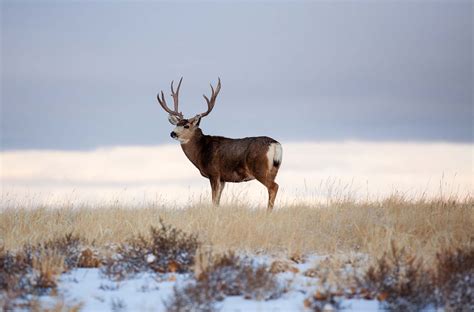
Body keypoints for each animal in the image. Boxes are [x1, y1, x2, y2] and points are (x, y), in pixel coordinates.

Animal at [156, 77, 284, 211]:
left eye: (186, 126)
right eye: (177, 124)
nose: (173, 133)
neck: (201, 150)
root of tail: (275, 144)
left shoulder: (214, 173)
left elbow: (213, 200)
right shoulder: (223, 179)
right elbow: (217, 202)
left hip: (259, 168)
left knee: (274, 187)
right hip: (274, 170)